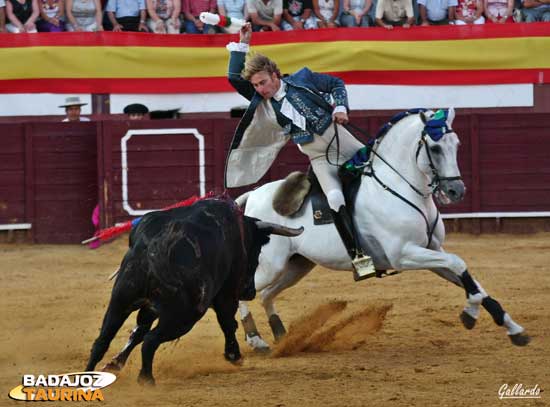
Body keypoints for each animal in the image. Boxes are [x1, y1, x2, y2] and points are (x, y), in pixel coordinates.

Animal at [85, 199, 306, 384]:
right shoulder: (226, 293)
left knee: (102, 341)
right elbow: (228, 322)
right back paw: (146, 379)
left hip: (120, 300)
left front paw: (114, 363)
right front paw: (234, 356)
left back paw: (88, 376)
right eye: (257, 250)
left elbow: (137, 332)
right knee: (150, 340)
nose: (249, 291)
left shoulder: (148, 307)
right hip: (185, 315)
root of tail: (156, 247)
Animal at [237, 108, 532, 350]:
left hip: (297, 265)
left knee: (265, 294)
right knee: (246, 291)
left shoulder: (432, 250)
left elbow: (471, 280)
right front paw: (469, 314)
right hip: (270, 265)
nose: (456, 190)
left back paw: (281, 335)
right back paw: (255, 339)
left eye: (457, 144)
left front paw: (513, 329)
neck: (399, 187)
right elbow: (459, 263)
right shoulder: (403, 254)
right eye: (435, 148)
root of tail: (252, 197)